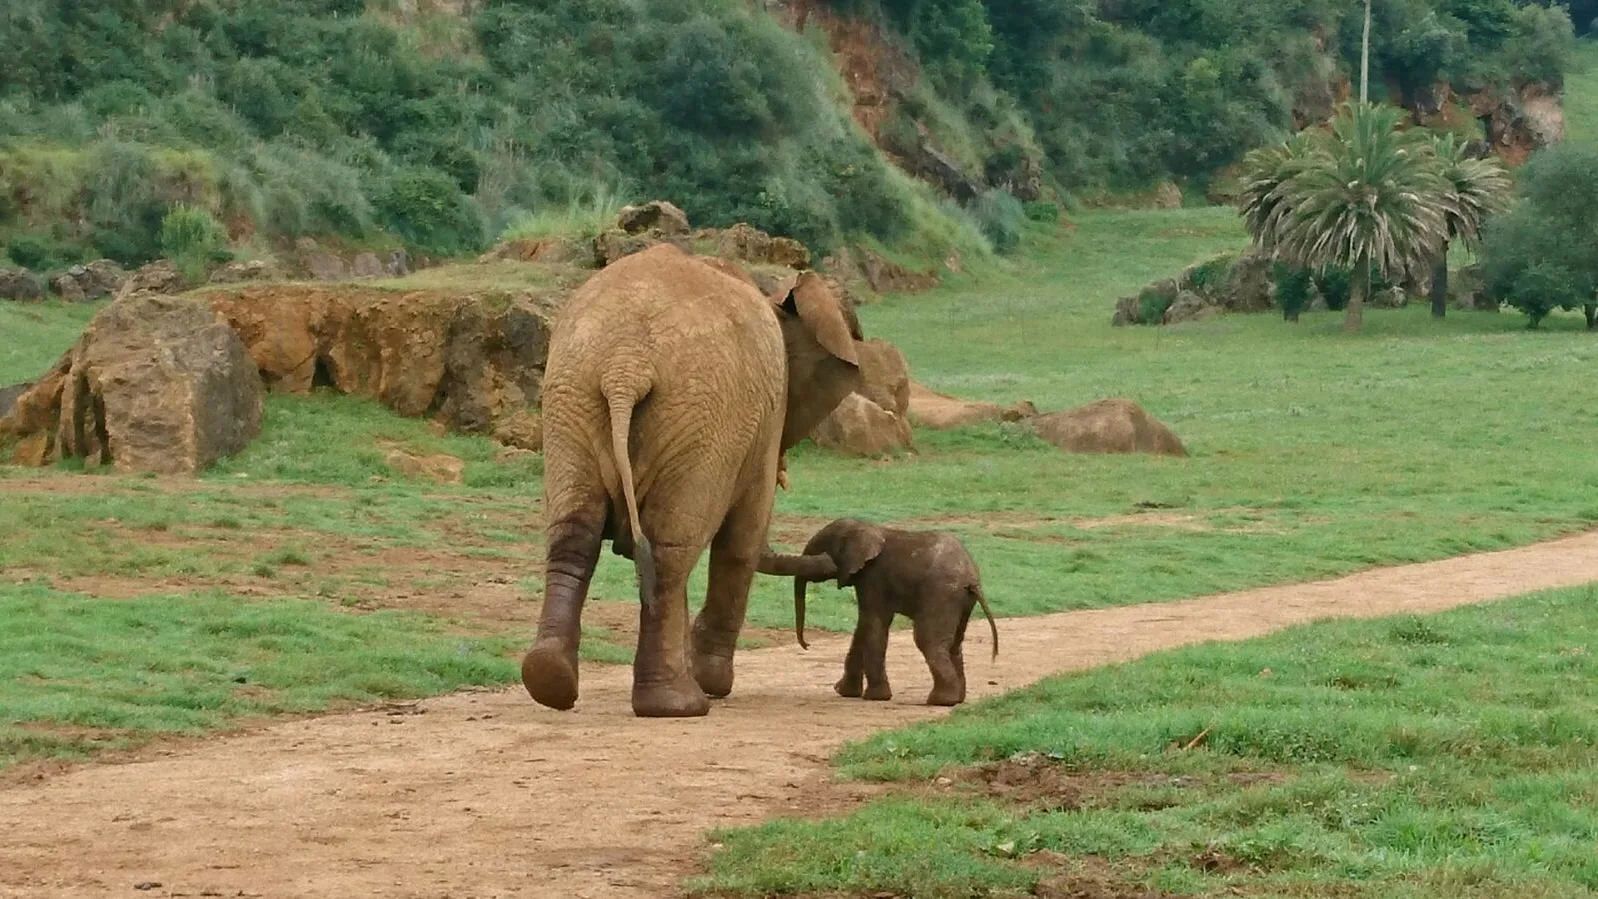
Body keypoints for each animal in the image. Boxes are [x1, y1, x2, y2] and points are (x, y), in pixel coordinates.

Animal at [524, 242, 862, 721]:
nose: (836, 564)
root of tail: (625, 367)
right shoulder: (762, 423)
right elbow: (742, 540)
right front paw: (713, 683)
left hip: (573, 398)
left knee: (577, 533)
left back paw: (550, 681)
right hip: (700, 417)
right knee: (671, 552)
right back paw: (679, 705)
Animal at [760, 520, 997, 712]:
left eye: (820, 548)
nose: (807, 645)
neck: (866, 528)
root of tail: (971, 578)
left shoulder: (873, 577)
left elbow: (873, 624)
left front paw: (875, 697)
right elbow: (863, 627)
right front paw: (844, 692)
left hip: (940, 593)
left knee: (927, 640)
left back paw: (940, 701)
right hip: (960, 601)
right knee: (955, 643)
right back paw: (957, 699)